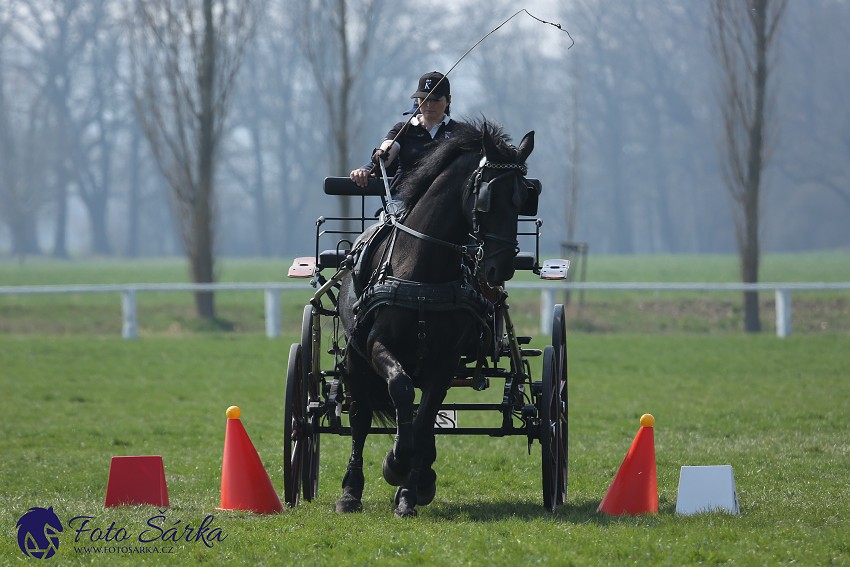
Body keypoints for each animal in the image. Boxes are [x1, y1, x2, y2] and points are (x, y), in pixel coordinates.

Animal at [334, 121, 532, 520]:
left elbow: (425, 417)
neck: (423, 271)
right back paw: (351, 491)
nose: (499, 268)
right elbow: (400, 391)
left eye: (524, 198)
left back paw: (422, 474)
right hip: (355, 358)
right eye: (487, 196)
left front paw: (409, 490)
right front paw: (396, 462)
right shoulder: (377, 344)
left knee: (423, 419)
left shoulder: (445, 360)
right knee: (360, 418)